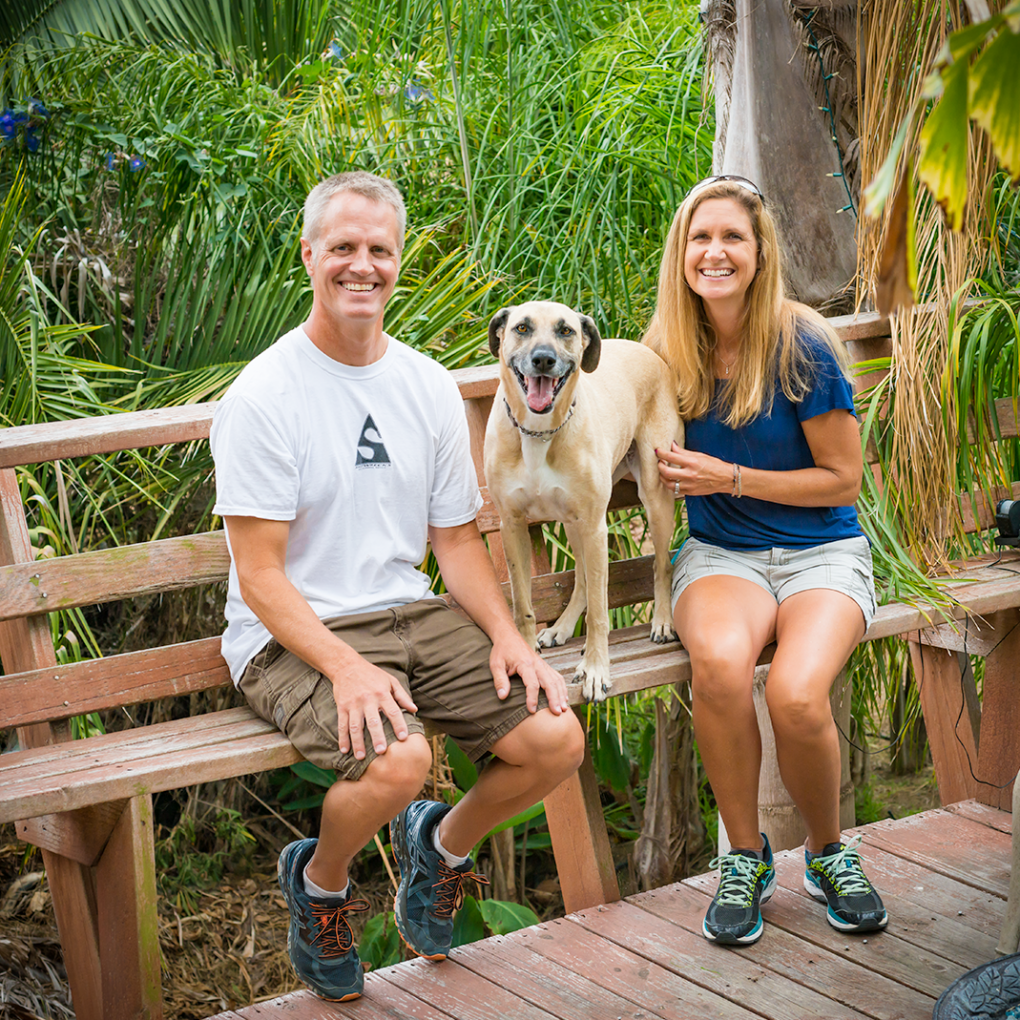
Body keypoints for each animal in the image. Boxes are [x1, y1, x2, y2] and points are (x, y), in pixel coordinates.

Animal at [483, 301, 684, 702]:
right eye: (522, 328)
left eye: (566, 331)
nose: (544, 360)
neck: (538, 433)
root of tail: (649, 352)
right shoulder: (512, 526)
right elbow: (523, 606)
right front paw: (529, 659)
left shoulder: (595, 526)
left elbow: (600, 613)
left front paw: (595, 670)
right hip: (573, 523)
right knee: (580, 580)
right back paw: (560, 628)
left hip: (652, 495)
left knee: (660, 564)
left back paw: (662, 621)